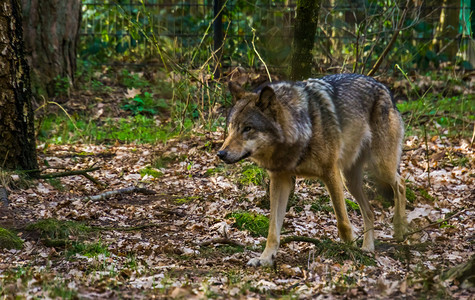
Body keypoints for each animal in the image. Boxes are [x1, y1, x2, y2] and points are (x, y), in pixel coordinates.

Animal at [218, 74, 408, 266]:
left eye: (247, 128)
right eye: (231, 127)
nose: (221, 153)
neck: (300, 127)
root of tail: (384, 88)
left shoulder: (330, 173)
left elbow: (343, 221)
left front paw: (351, 250)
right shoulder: (280, 180)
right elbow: (272, 229)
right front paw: (265, 258)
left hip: (379, 166)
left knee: (400, 183)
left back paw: (400, 229)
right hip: (350, 180)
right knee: (370, 211)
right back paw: (368, 248)